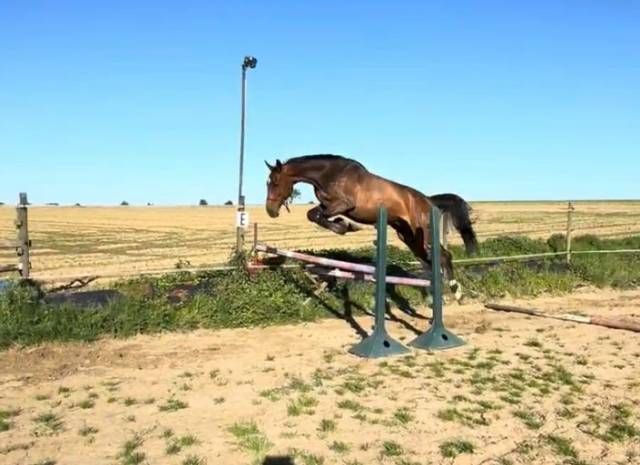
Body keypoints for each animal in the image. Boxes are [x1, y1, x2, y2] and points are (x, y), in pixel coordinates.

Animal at [264, 154, 478, 299]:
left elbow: (317, 215)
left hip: (424, 234)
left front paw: (346, 226)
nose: (270, 211)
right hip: (409, 238)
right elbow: (313, 214)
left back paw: (456, 290)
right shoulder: (329, 205)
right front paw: (343, 225)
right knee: (431, 261)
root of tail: (428, 201)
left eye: (275, 182)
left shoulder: (344, 204)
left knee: (444, 256)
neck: (329, 174)